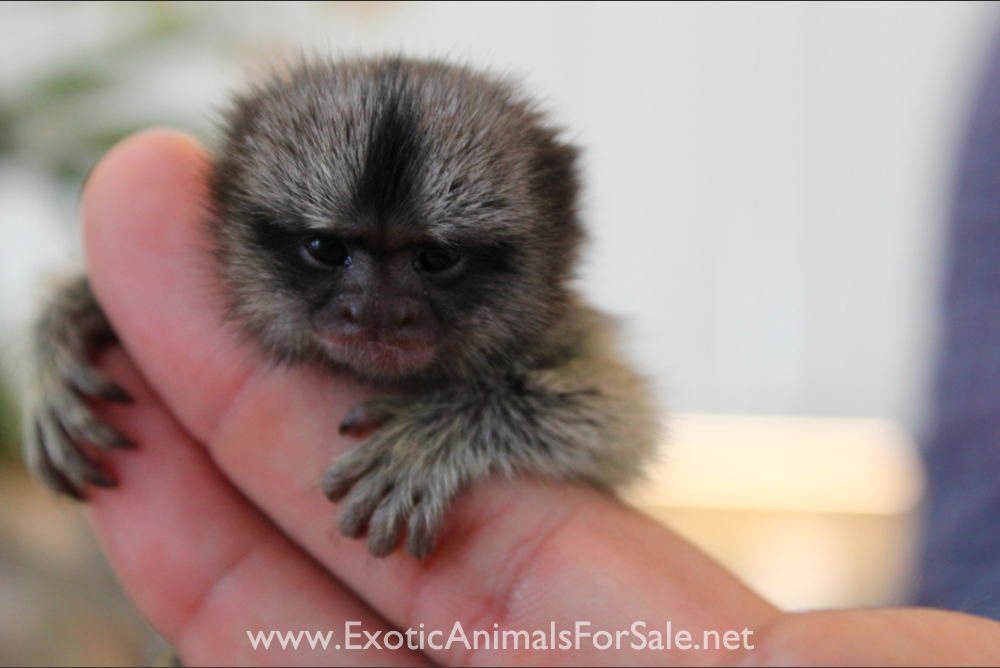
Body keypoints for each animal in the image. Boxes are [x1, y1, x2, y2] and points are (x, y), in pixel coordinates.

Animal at [20, 57, 659, 559]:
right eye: (327, 249)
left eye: (435, 257)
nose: (376, 313)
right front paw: (66, 327)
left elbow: (618, 419)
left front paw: (429, 434)